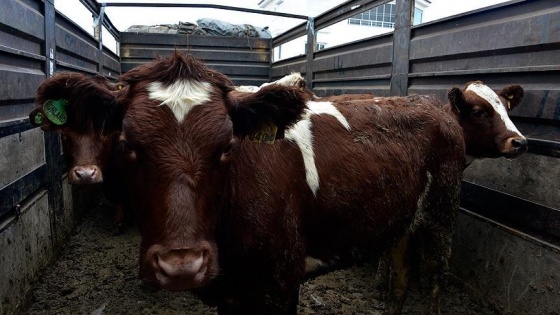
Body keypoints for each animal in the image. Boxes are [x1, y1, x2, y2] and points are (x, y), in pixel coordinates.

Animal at [81, 53, 464, 314]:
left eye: (227, 146)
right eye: (127, 144)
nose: (182, 266)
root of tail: (428, 102)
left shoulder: (280, 283)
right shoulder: (232, 293)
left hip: (441, 214)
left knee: (436, 276)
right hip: (401, 221)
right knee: (402, 274)